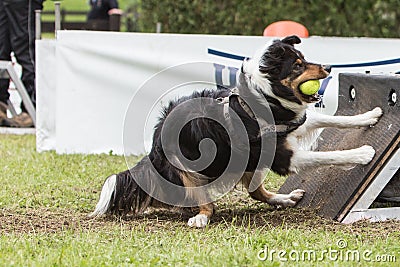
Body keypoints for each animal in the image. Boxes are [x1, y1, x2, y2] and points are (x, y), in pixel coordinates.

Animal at [89, 35, 382, 228]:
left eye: (304, 58)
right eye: (297, 65)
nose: (329, 67)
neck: (265, 97)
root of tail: (154, 141)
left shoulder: (292, 126)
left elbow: (332, 119)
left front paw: (370, 116)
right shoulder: (283, 156)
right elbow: (326, 156)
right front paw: (362, 154)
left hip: (247, 162)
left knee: (256, 193)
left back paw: (286, 198)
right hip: (189, 169)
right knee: (207, 203)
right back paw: (201, 217)